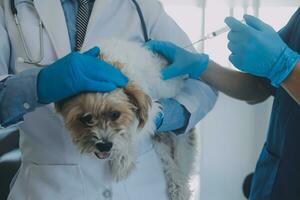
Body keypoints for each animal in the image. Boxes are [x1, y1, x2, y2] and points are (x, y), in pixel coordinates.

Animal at [55, 39, 200, 199]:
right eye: (87, 118)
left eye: (115, 115)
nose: (104, 146)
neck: (108, 64)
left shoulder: (152, 109)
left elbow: (132, 133)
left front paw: (123, 161)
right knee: (167, 157)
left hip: (181, 132)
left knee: (182, 155)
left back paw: (180, 188)